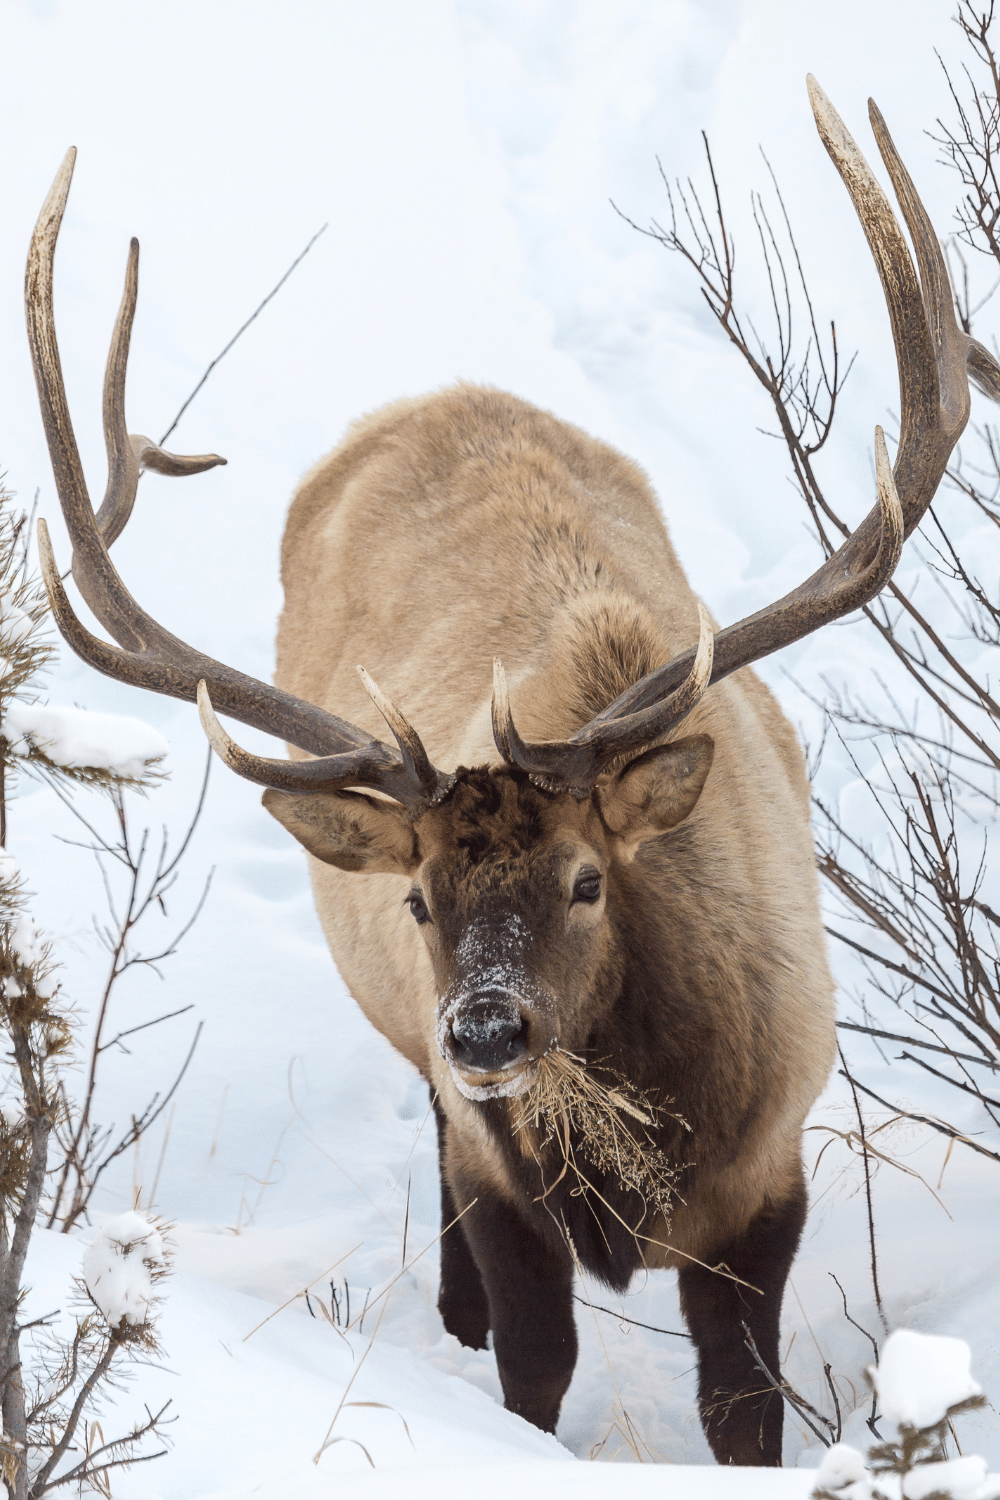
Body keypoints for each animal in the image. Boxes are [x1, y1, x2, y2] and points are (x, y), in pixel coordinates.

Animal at [23, 82, 1000, 1464]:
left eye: (588, 880)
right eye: (419, 897)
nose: (488, 1028)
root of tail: (422, 398)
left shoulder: (774, 1170)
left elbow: (741, 1402)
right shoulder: (499, 1177)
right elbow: (533, 1373)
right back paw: (449, 1307)